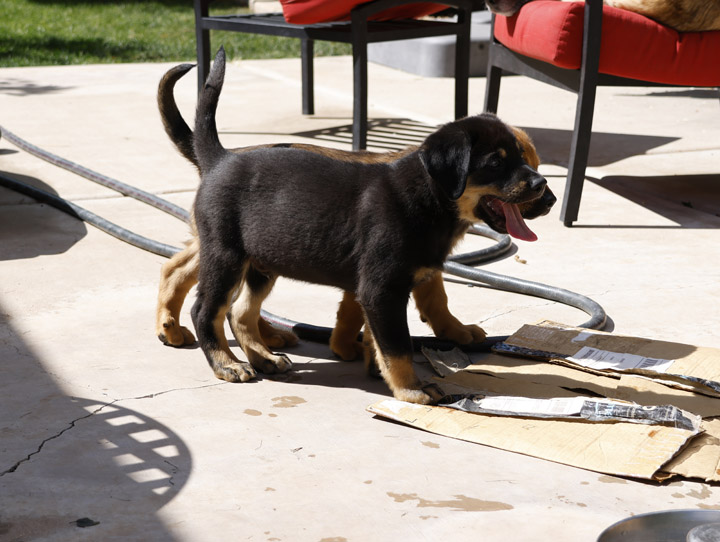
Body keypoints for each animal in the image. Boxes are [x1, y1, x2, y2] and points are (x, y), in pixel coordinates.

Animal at [188, 47, 548, 404]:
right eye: (496, 162)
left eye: (521, 157)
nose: (542, 186)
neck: (428, 197)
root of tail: (220, 159)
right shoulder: (382, 289)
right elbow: (398, 345)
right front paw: (412, 389)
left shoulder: (383, 291)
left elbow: (378, 339)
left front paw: (380, 371)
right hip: (225, 255)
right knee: (206, 311)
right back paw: (226, 364)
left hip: (262, 262)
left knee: (240, 312)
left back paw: (265, 358)